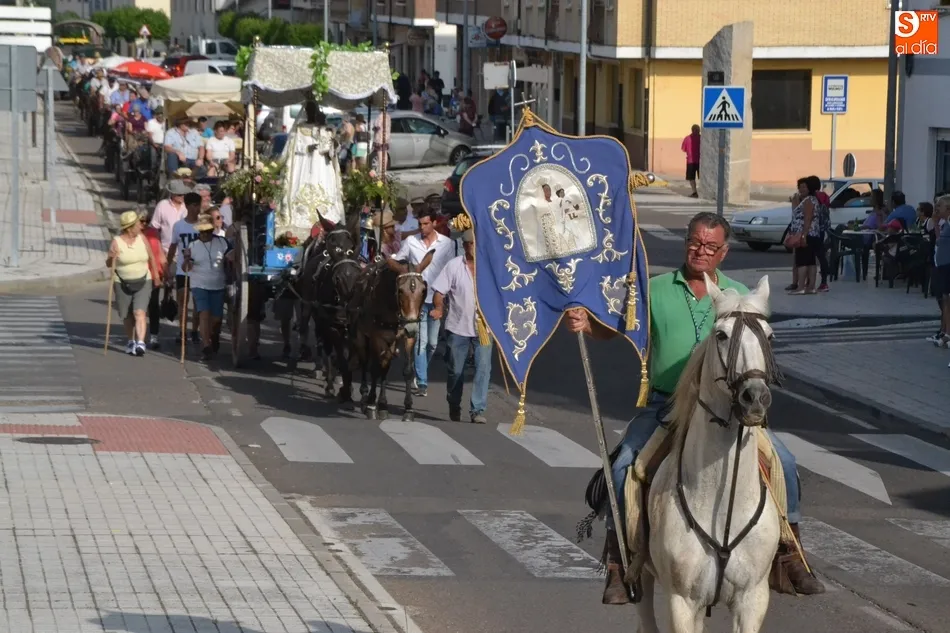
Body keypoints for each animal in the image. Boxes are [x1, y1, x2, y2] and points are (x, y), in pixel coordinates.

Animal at [349, 251, 434, 421]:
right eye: (400, 290)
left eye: (423, 290)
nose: (412, 327)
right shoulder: (376, 338)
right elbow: (375, 369)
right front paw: (371, 406)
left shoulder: (408, 338)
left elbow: (407, 371)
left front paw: (408, 408)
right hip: (361, 337)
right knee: (365, 362)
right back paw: (365, 398)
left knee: (385, 364)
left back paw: (382, 404)